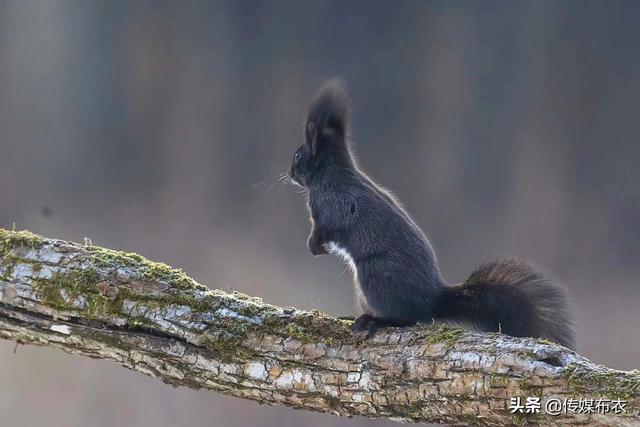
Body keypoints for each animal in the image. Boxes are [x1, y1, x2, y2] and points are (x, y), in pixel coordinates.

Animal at [288, 78, 576, 350]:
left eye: (298, 155)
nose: (289, 174)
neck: (331, 173)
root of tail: (432, 300)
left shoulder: (331, 207)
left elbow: (323, 228)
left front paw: (315, 246)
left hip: (374, 275)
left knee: (405, 318)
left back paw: (373, 321)